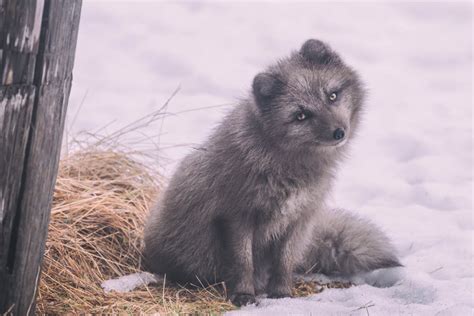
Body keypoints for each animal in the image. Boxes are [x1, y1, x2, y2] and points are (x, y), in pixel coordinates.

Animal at [143, 39, 400, 306]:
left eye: (332, 95)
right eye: (301, 115)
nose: (339, 133)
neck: (289, 168)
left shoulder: (298, 219)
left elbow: (284, 262)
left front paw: (282, 294)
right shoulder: (238, 216)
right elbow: (243, 262)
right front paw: (244, 294)